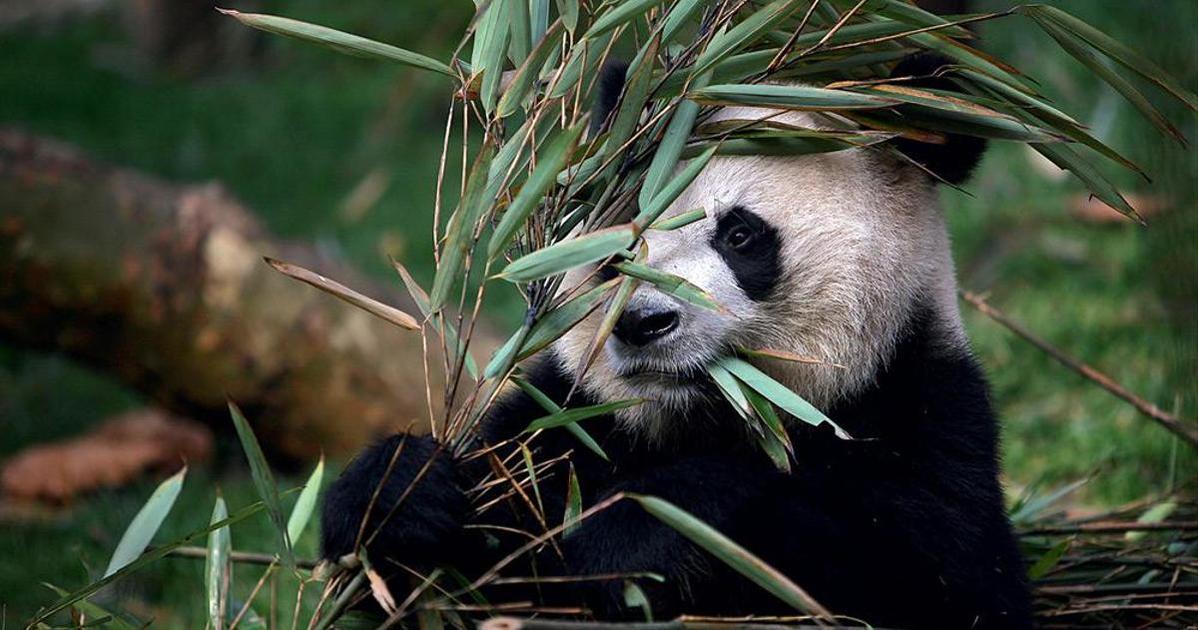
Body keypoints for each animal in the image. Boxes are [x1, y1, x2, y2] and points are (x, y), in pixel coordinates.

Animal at [318, 56, 1030, 627]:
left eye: (740, 235)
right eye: (622, 240)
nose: (643, 322)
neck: (694, 420)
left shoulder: (922, 413)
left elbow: (926, 576)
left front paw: (638, 537)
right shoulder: (564, 423)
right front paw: (399, 497)